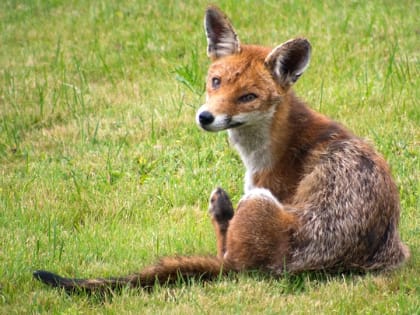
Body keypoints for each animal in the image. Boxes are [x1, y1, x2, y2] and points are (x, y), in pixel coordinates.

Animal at [34, 5, 408, 294]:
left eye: (247, 97)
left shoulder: (264, 185)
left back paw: (221, 209)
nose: (205, 117)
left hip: (256, 206)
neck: (273, 142)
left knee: (225, 256)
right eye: (216, 82)